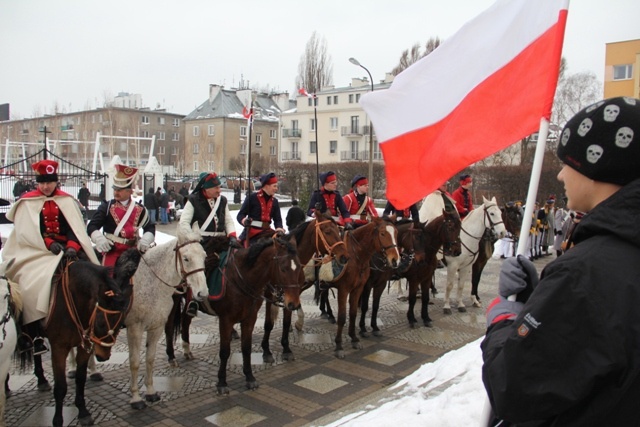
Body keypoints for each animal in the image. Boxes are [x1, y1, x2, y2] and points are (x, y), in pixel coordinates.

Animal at [27, 251, 140, 427]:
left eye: (121, 321)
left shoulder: (85, 344)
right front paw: (58, 420)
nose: (103, 356)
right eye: (100, 321)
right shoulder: (59, 347)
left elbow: (81, 379)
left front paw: (83, 412)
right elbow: (60, 387)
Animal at [124, 224, 206, 412]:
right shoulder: (134, 328)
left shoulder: (156, 327)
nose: (202, 293)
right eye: (186, 258)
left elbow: (150, 359)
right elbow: (134, 362)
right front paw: (136, 398)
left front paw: (151, 392)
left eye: (204, 256)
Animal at [320, 217, 400, 362]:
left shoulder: (368, 286)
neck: (357, 255)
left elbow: (360, 311)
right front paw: (340, 345)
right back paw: (328, 314)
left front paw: (358, 336)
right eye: (382, 234)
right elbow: (345, 315)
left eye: (396, 233)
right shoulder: (346, 289)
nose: (395, 259)